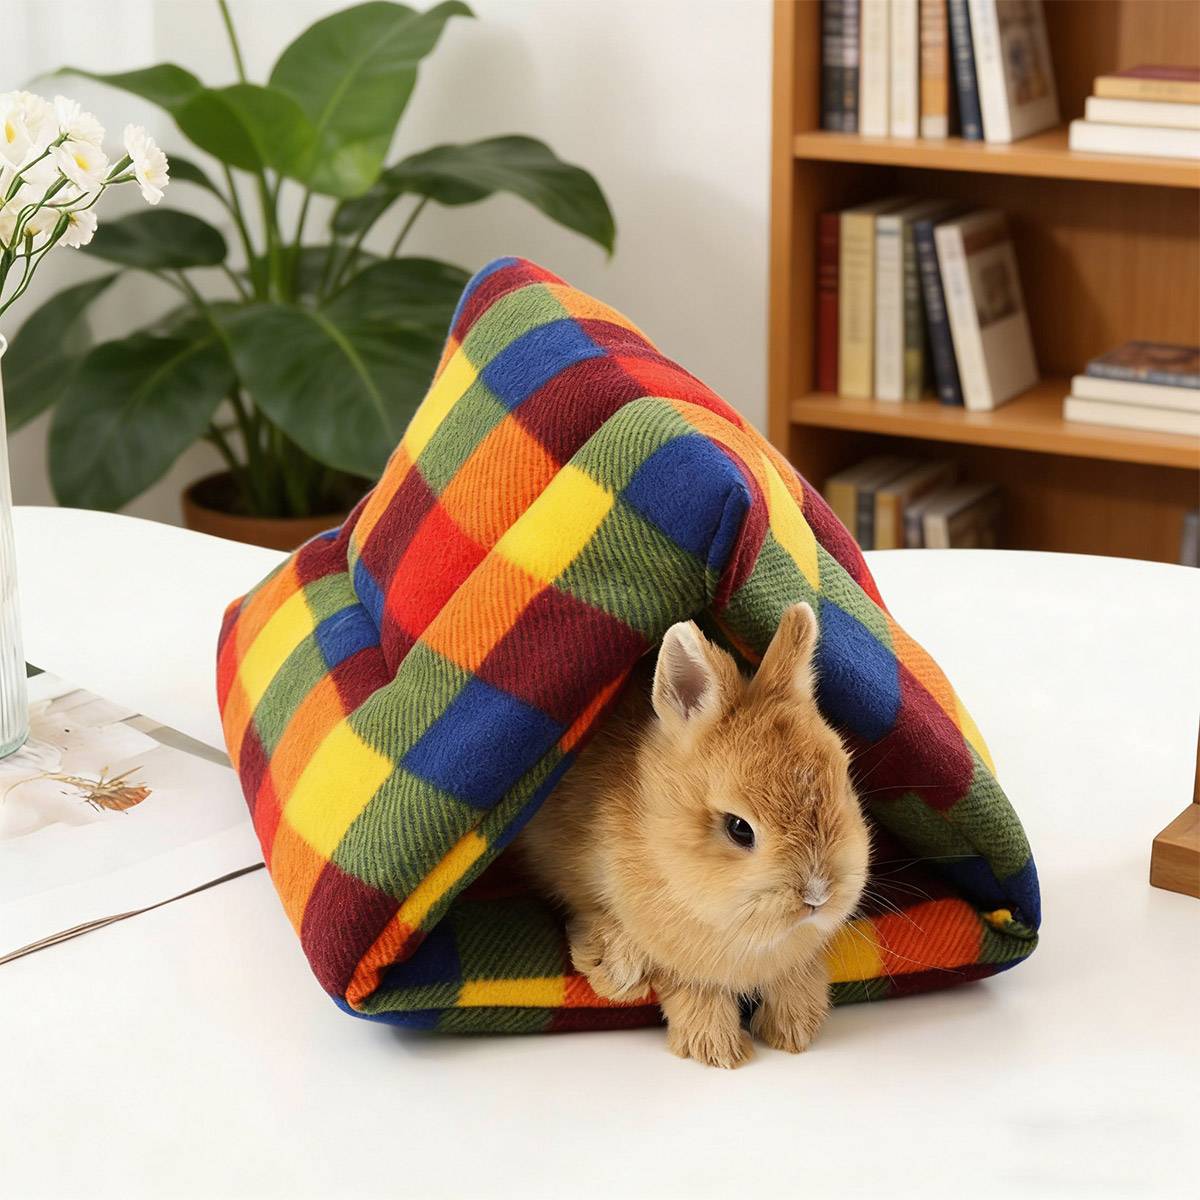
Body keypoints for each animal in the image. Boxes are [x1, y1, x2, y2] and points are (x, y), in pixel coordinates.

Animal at [516, 601, 870, 1069]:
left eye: (843, 782)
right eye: (739, 828)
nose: (817, 896)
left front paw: (795, 1029)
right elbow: (686, 984)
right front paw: (717, 1048)